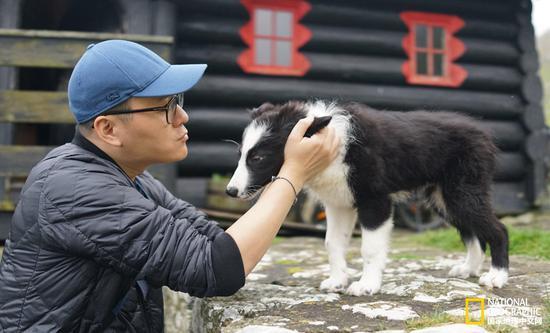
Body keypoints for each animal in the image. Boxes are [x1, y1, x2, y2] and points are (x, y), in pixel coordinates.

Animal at [226, 100, 512, 294]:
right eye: (240, 155)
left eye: (258, 158)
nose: (230, 191)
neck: (333, 143)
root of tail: (482, 132)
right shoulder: (338, 204)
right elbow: (332, 243)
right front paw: (337, 281)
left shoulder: (375, 201)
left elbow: (370, 248)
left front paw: (366, 286)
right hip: (445, 198)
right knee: (472, 233)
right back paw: (469, 269)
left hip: (463, 192)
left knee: (498, 230)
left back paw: (496, 277)